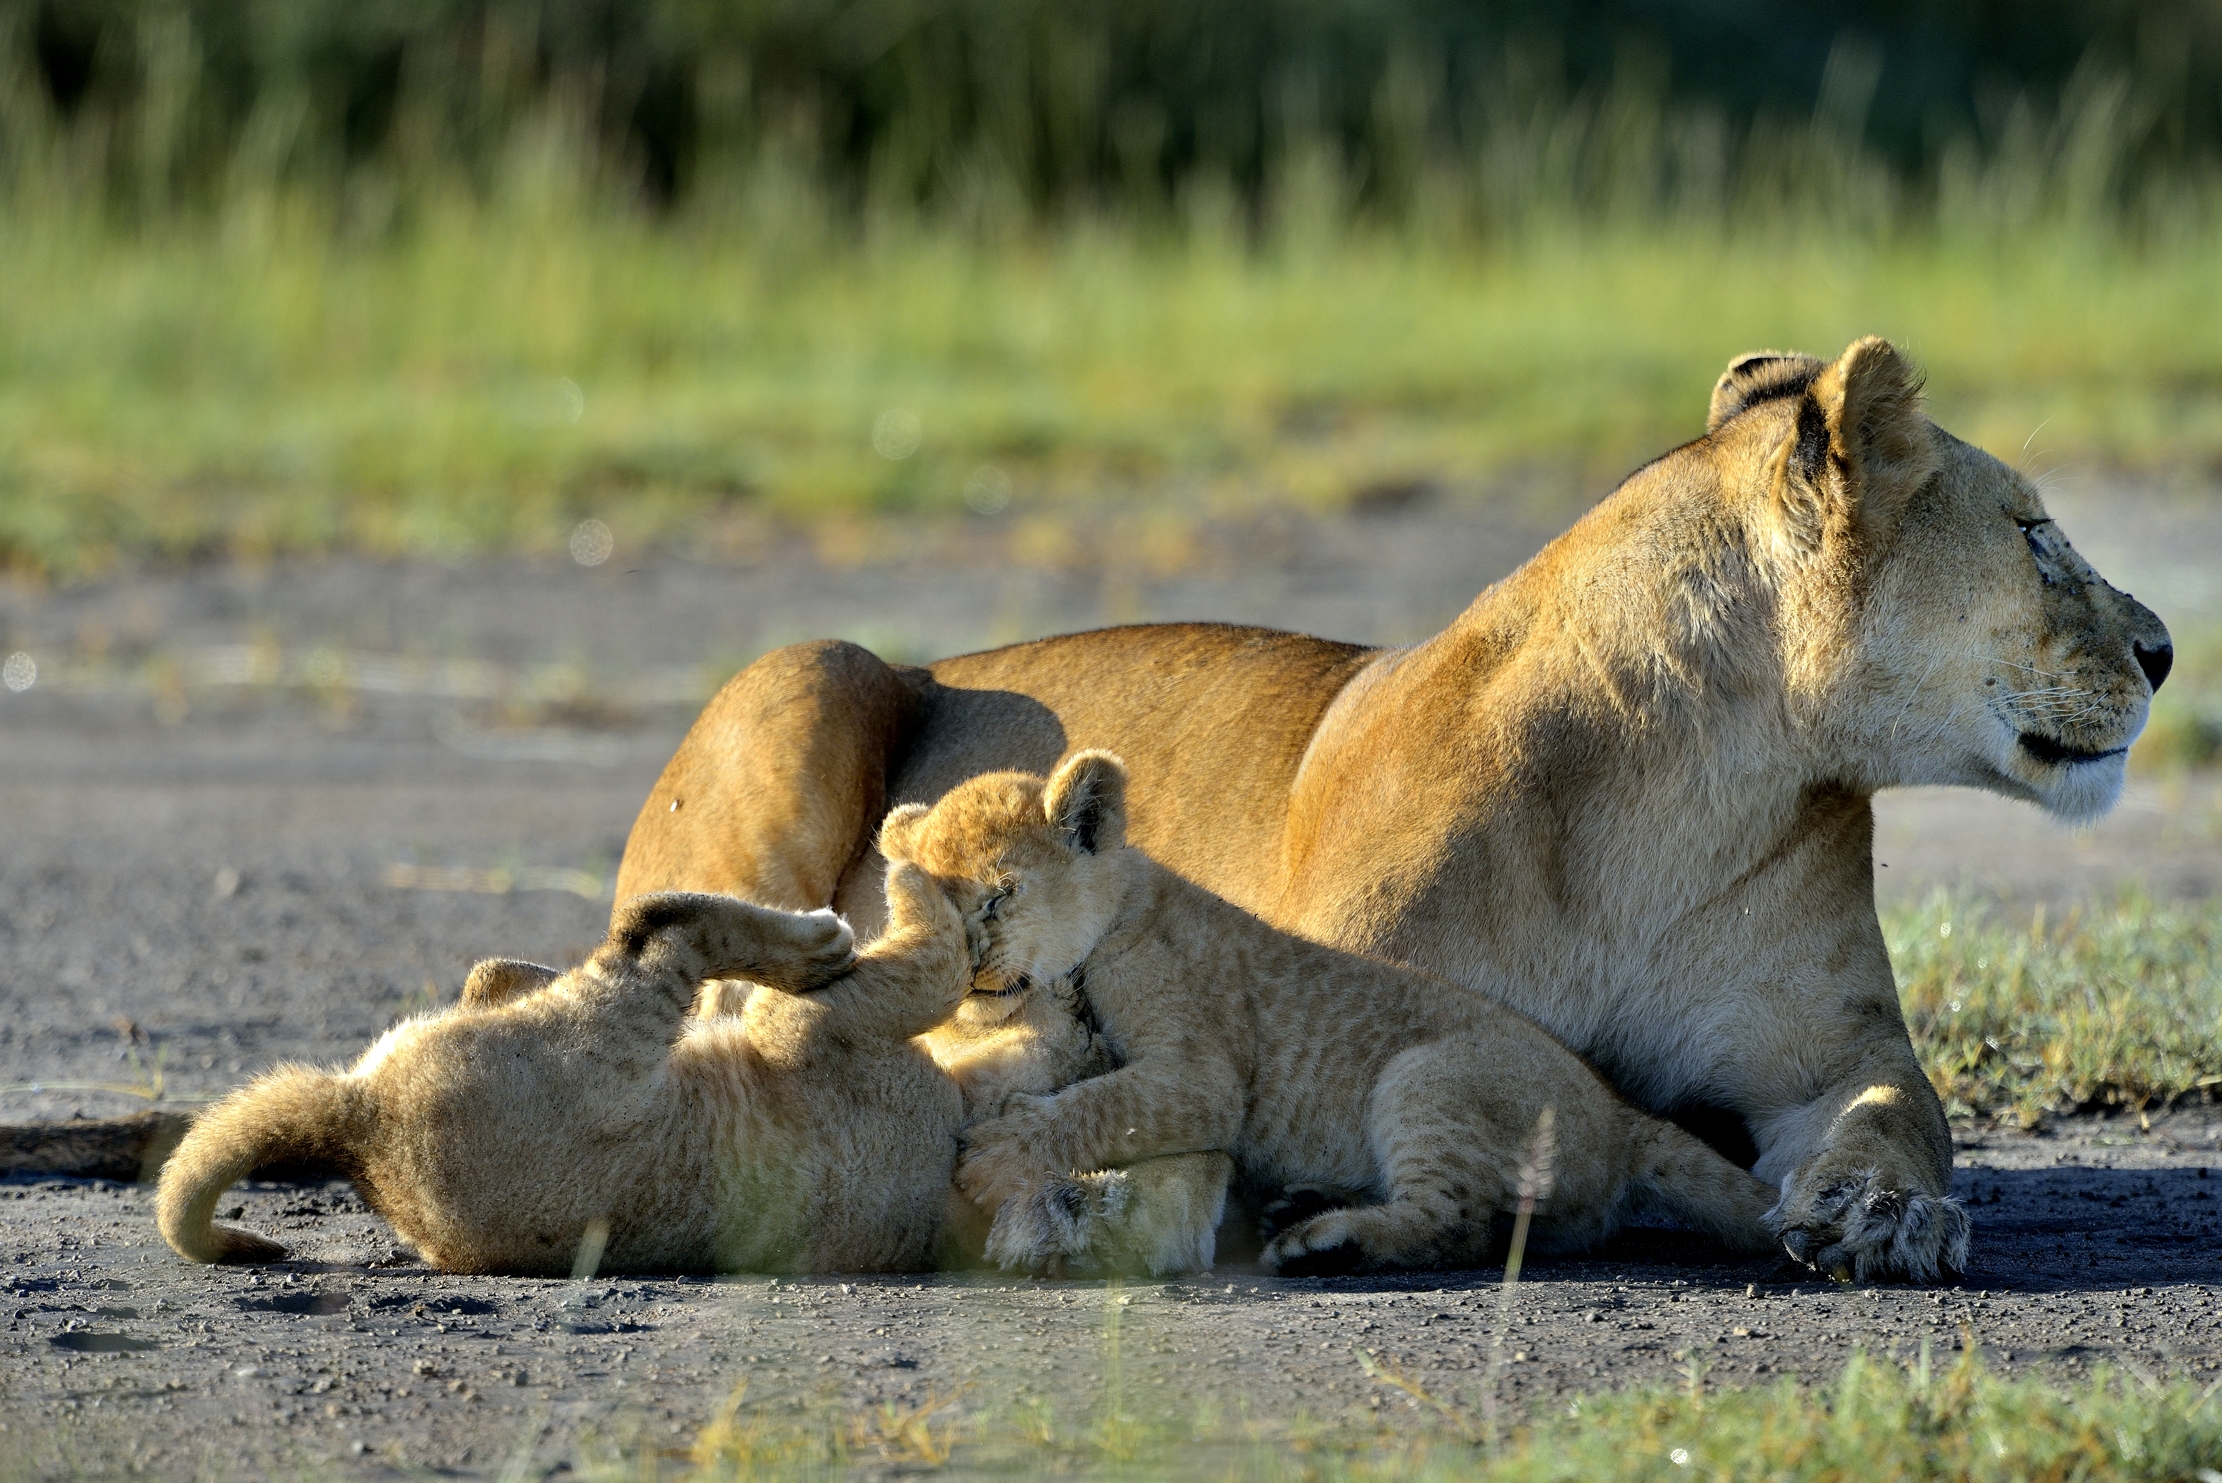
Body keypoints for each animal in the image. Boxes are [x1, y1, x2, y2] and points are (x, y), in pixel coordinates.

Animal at [879, 751, 1780, 1274]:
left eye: (999, 894)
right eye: (933, 899)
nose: (967, 967)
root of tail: (1620, 1116)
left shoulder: (1202, 1074)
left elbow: (1107, 1102)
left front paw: (1001, 1154)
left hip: (1428, 1074)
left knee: (1459, 1226)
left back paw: (1323, 1240)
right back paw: (1303, 1204)